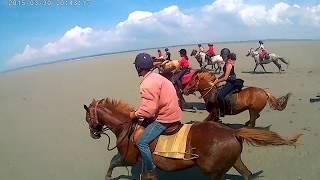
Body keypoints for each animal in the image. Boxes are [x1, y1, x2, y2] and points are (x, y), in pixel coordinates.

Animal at [83, 98, 302, 180]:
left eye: (87, 118)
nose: (93, 133)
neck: (126, 127)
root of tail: (232, 133)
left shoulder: (128, 158)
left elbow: (113, 162)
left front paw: (107, 177)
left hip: (213, 172)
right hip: (234, 161)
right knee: (247, 174)